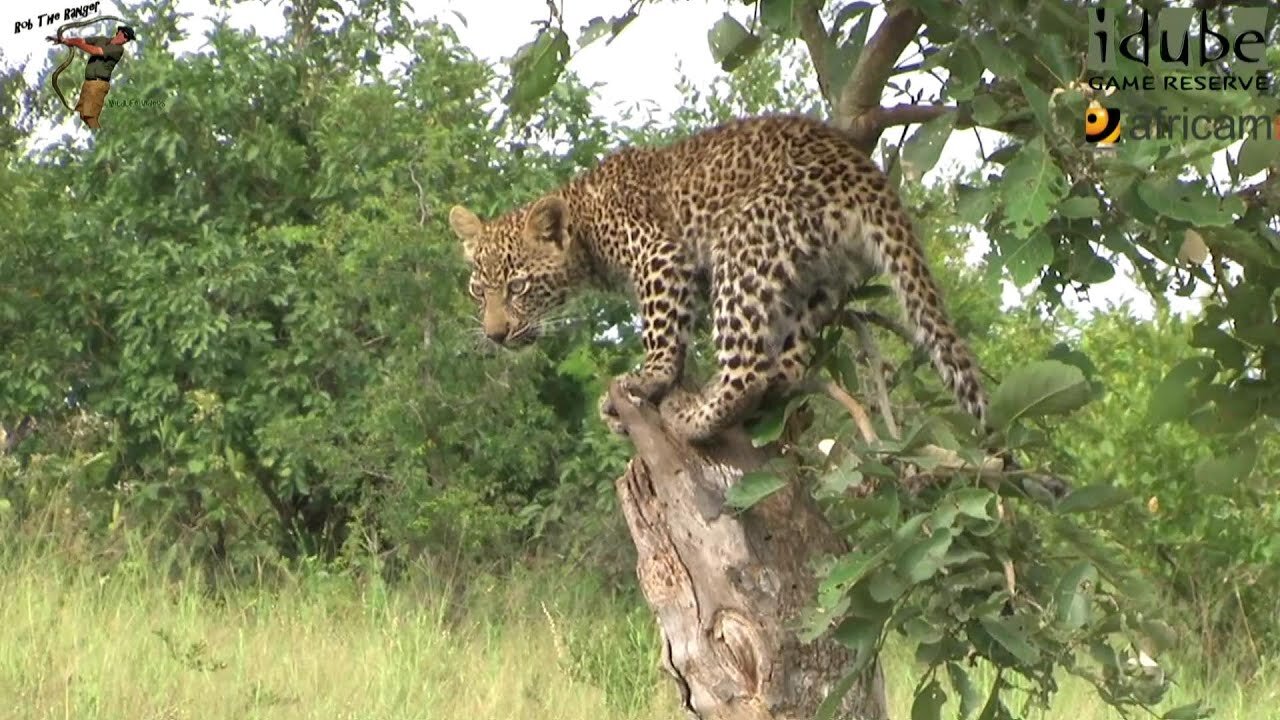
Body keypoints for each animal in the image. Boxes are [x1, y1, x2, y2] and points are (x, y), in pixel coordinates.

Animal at [448, 113, 988, 443]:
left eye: (518, 287)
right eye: (479, 292)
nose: (495, 335)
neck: (584, 227)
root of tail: (861, 168)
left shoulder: (661, 257)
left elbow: (663, 332)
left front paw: (650, 378)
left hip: (744, 242)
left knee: (748, 370)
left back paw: (693, 418)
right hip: (820, 277)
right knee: (782, 366)